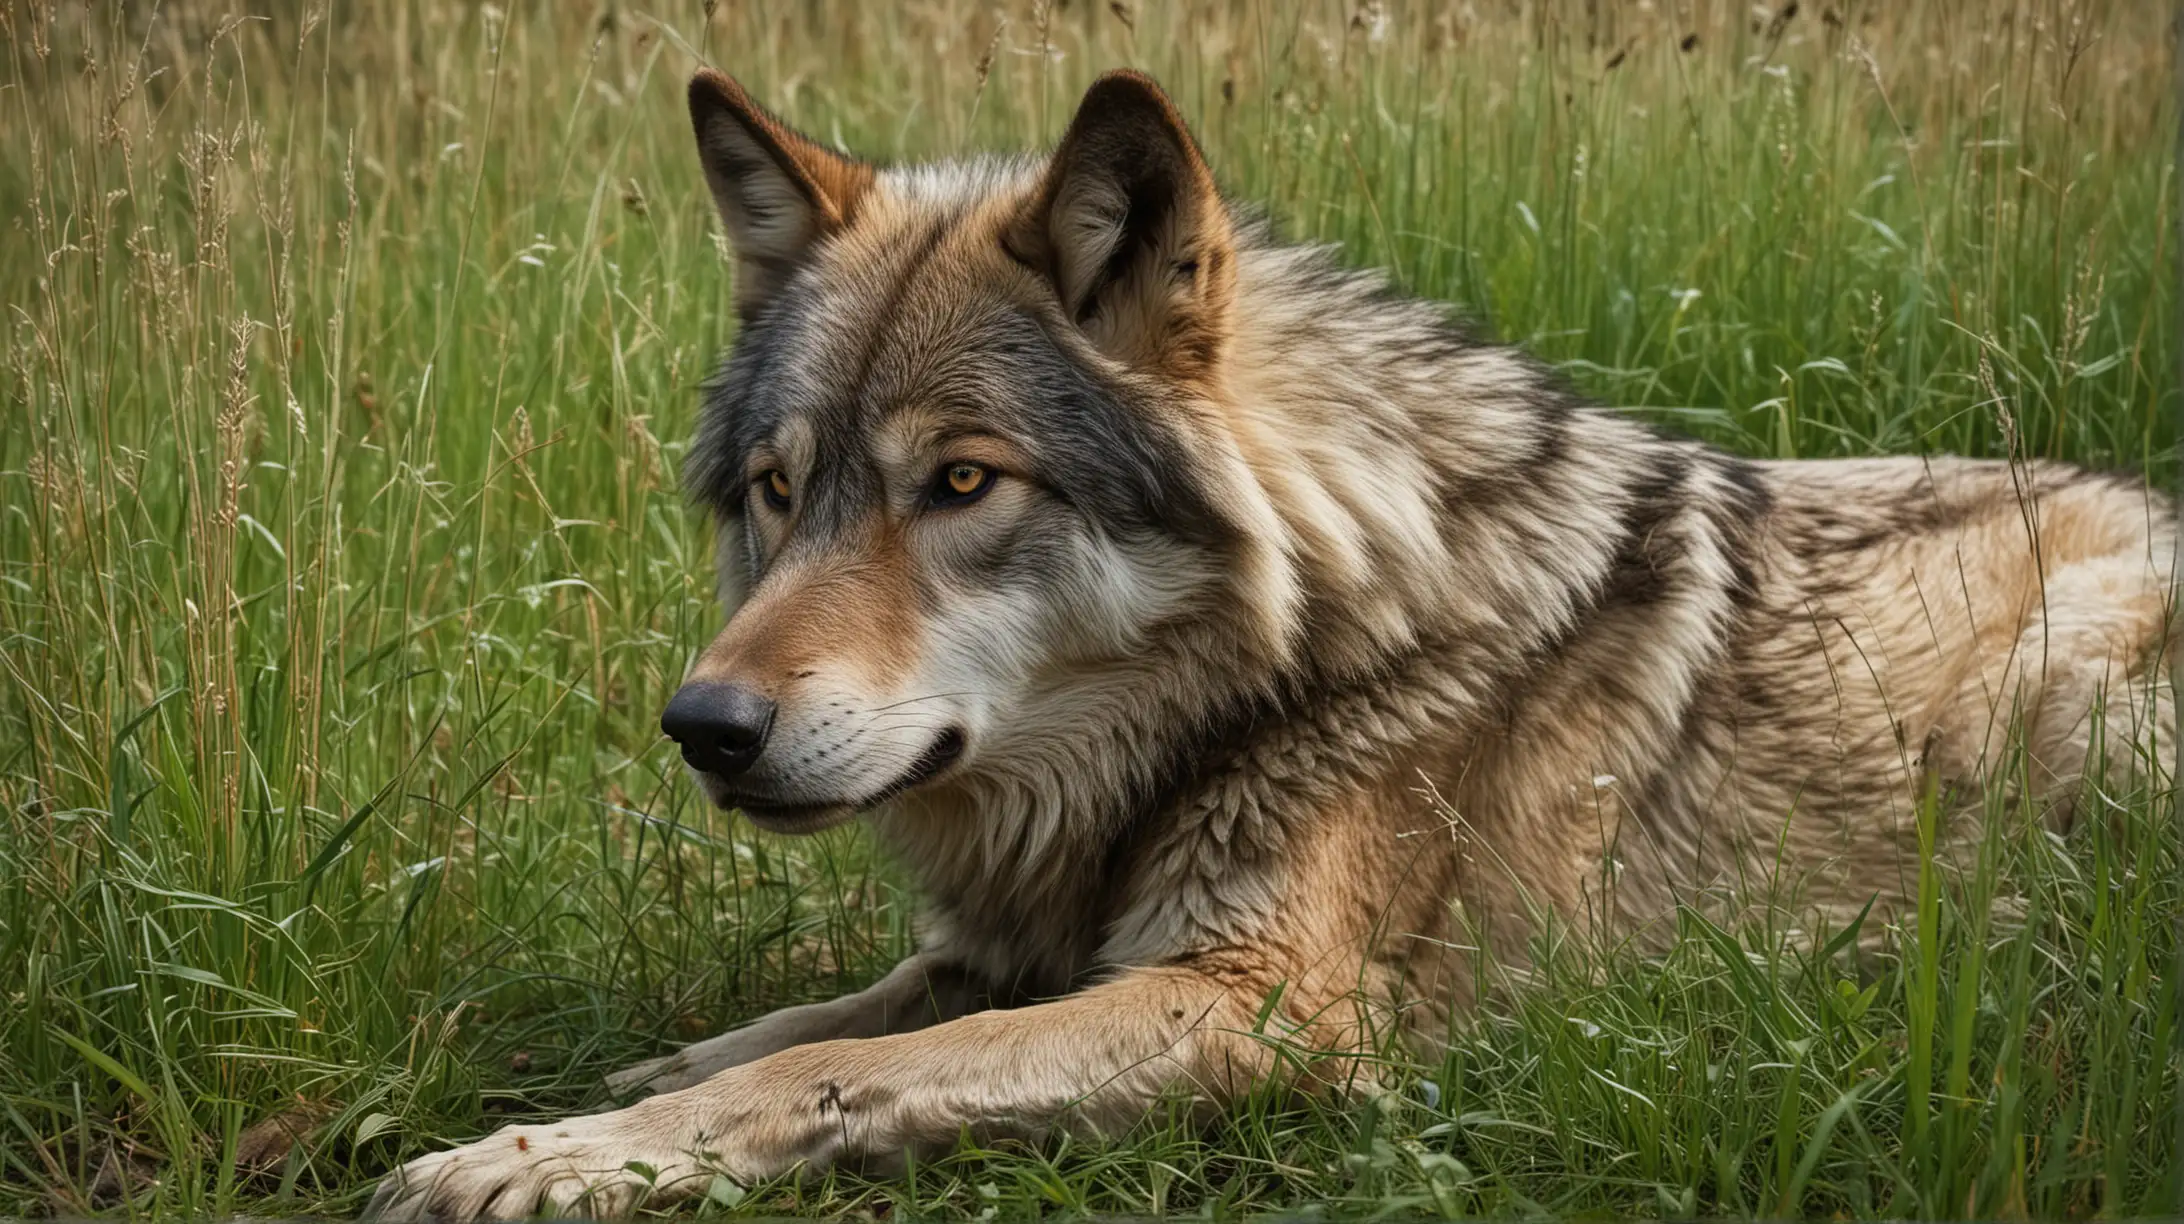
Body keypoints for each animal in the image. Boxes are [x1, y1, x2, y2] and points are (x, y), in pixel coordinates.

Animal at [366, 69, 2175, 1224]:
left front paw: (546, 1159)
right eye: (776, 488)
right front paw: (553, 1110)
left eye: (961, 482)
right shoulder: (1013, 943)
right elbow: (786, 1028)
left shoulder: (1258, 1006)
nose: (703, 724)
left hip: (2077, 672)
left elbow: (829, 1069)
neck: (1286, 667)